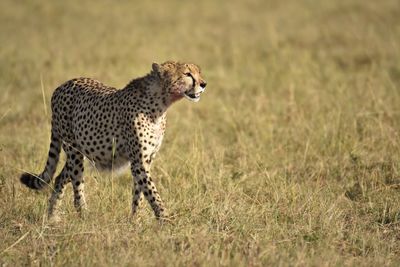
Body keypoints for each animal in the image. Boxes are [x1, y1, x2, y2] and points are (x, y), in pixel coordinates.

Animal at [19, 61, 206, 222]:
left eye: (198, 72)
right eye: (187, 74)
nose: (204, 84)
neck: (161, 103)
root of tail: (62, 86)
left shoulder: (146, 159)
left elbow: (140, 191)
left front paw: (135, 220)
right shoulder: (138, 161)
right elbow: (151, 191)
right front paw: (166, 219)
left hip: (80, 153)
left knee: (60, 178)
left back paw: (52, 217)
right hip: (74, 152)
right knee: (77, 184)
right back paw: (84, 215)